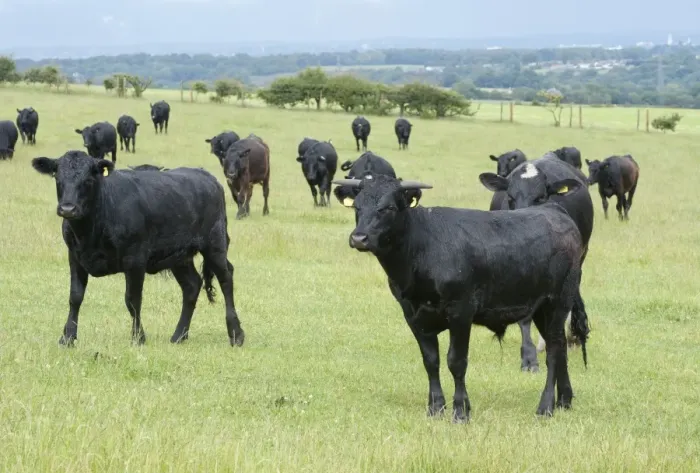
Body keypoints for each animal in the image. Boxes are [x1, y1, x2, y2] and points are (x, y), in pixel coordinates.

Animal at [30, 150, 245, 347]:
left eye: (89, 179)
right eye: (57, 177)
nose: (67, 209)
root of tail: (206, 176)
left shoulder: (135, 259)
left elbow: (132, 300)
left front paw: (138, 337)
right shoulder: (75, 257)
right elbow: (75, 297)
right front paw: (67, 337)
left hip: (214, 244)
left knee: (226, 279)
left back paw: (236, 334)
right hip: (179, 256)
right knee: (192, 285)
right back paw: (179, 335)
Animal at [333, 174, 589, 421]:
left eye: (388, 208)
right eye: (357, 206)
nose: (359, 238)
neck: (421, 250)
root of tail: (554, 209)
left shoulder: (460, 312)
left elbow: (456, 361)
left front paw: (460, 410)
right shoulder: (413, 316)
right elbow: (431, 361)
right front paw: (435, 408)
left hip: (558, 302)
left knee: (554, 351)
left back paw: (545, 407)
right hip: (539, 308)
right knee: (561, 347)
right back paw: (564, 400)